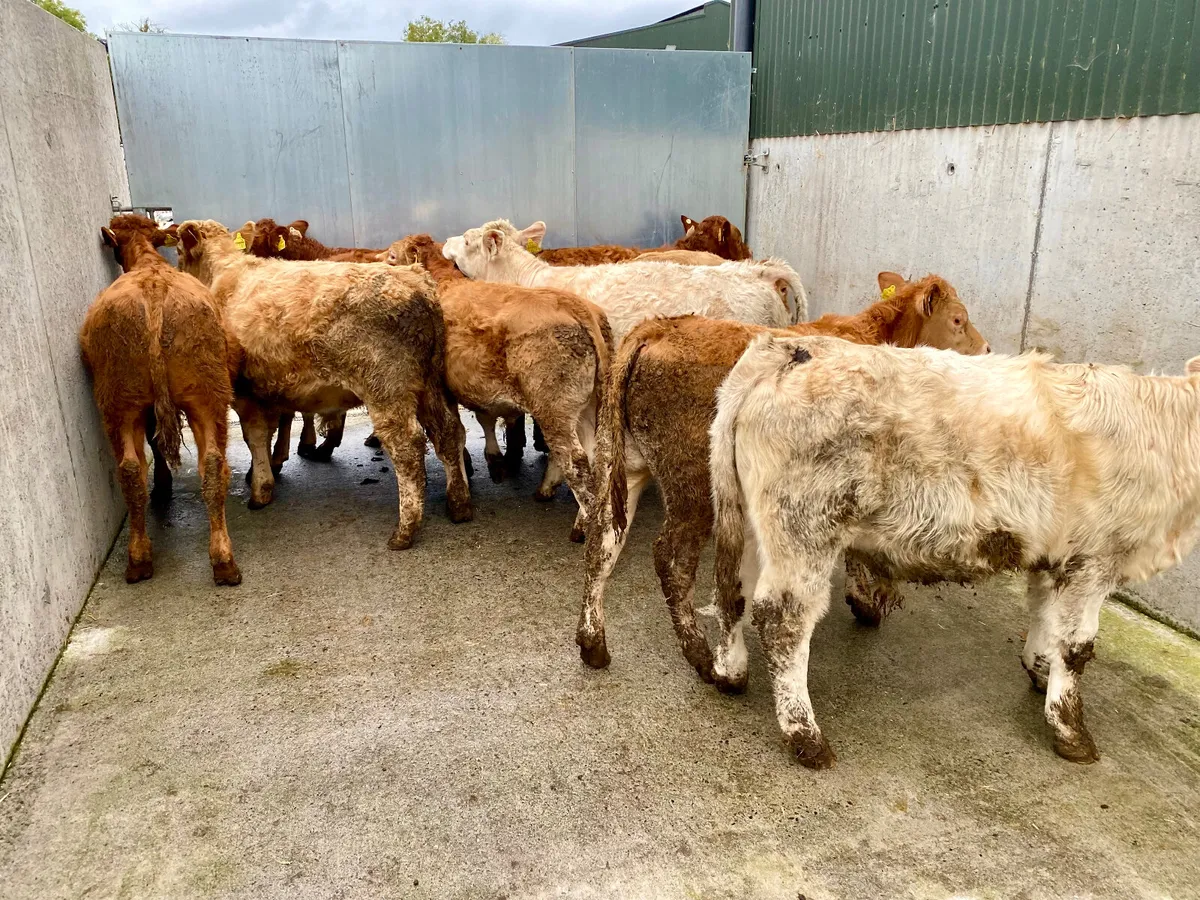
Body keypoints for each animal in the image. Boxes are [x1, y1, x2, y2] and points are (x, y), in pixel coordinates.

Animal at [80, 215, 241, 585]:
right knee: (187, 467)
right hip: (186, 397)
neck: (147, 261)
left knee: (143, 468)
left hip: (132, 400)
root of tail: (154, 291)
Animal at [577, 274, 989, 679]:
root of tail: (658, 327)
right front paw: (866, 602)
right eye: (958, 319)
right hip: (693, 484)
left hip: (623, 463)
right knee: (671, 560)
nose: (986, 350)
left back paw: (592, 644)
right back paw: (701, 656)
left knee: (603, 541)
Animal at [709, 334, 1200, 767]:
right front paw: (1071, 732)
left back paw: (730, 673)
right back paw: (806, 737)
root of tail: (789, 348)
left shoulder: (1052, 556)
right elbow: (1077, 646)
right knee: (782, 619)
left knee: (731, 589)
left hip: (751, 522)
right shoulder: (1095, 560)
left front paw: (1040, 670)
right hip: (805, 529)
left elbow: (1045, 617)